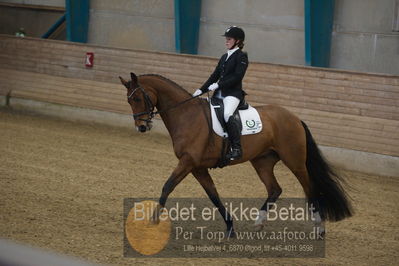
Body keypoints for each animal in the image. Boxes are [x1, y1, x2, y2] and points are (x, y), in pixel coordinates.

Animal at [119, 71, 354, 236]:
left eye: (137, 99)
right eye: (128, 100)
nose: (141, 127)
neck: (186, 115)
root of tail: (295, 118)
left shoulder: (187, 162)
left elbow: (167, 186)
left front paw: (153, 220)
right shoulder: (197, 167)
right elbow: (213, 196)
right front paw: (230, 227)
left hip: (294, 161)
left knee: (310, 189)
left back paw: (319, 227)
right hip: (262, 161)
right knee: (274, 189)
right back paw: (258, 223)